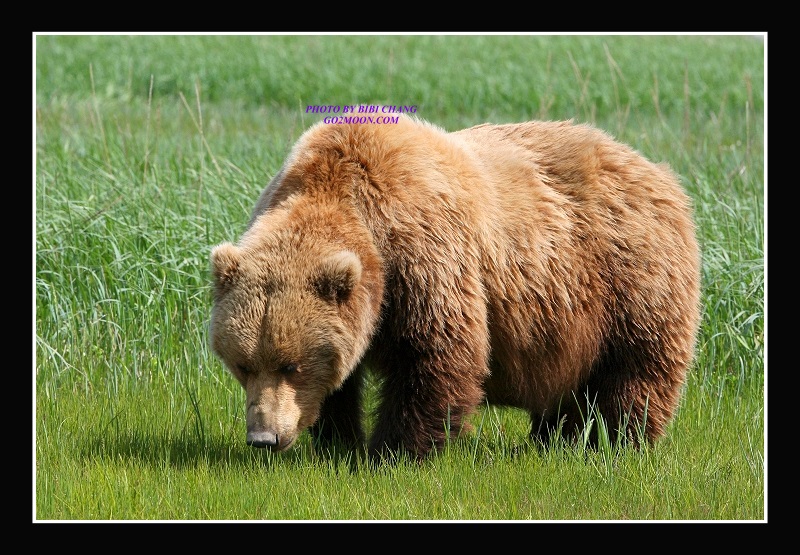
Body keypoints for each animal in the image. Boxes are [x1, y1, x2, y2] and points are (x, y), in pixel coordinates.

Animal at [208, 113, 700, 460]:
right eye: (243, 364)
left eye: (290, 365)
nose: (264, 438)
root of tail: (660, 172)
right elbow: (342, 380)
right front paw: (336, 440)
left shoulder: (423, 257)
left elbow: (436, 354)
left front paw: (391, 452)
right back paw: (552, 440)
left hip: (630, 278)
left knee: (635, 370)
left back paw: (614, 443)